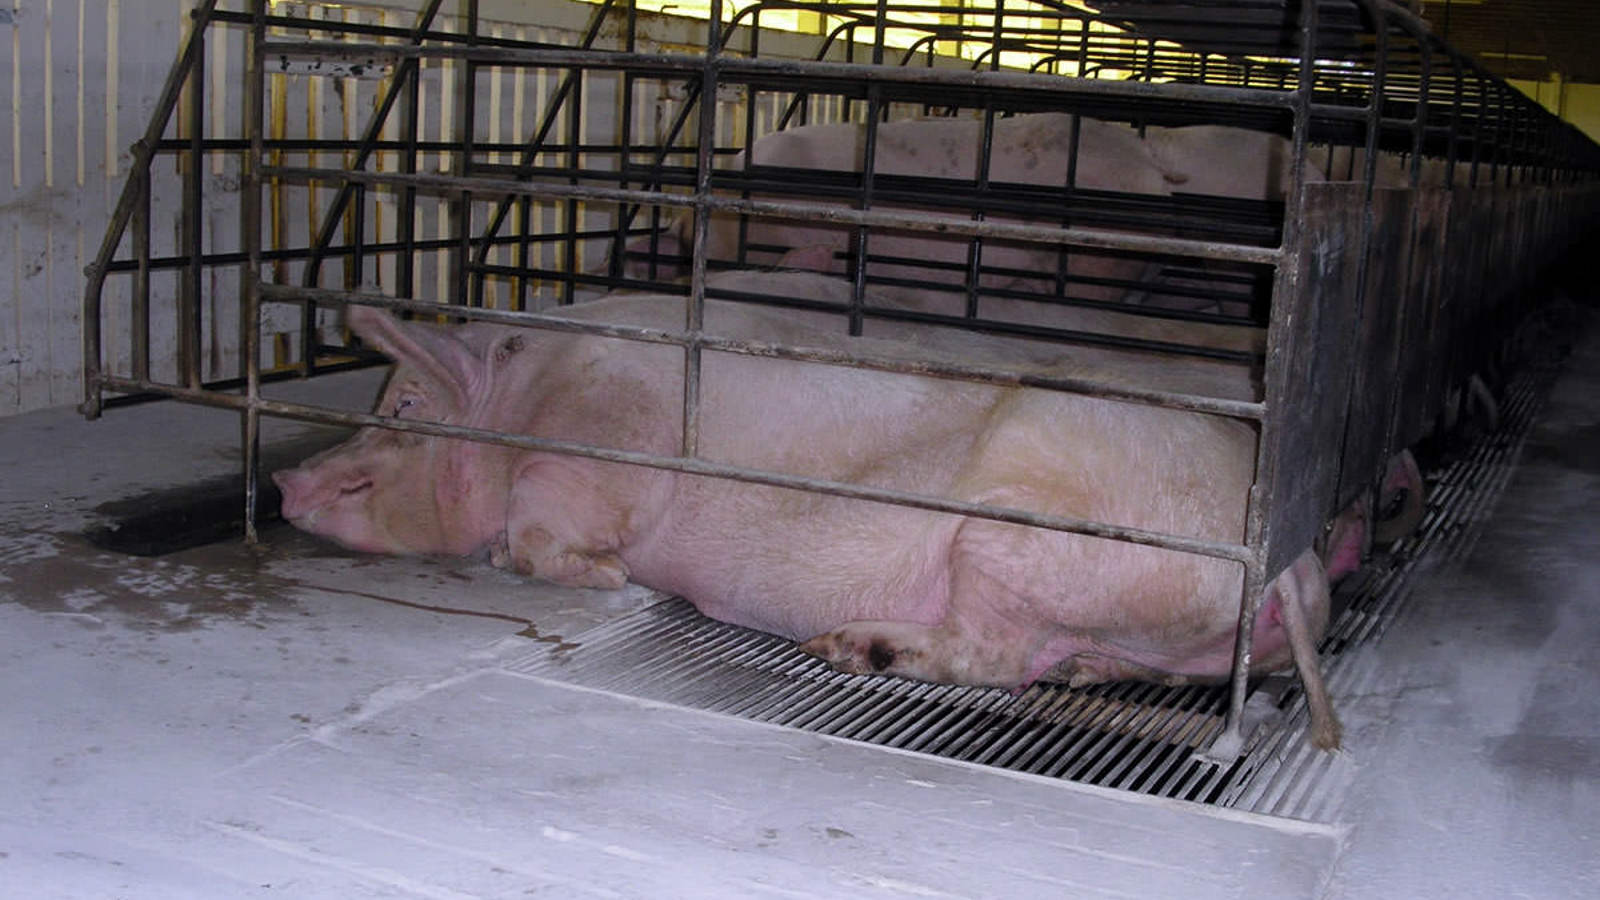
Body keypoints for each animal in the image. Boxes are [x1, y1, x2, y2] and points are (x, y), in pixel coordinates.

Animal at [274, 287, 1341, 750]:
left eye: (406, 407)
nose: (287, 487)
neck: (524, 400)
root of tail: (1287, 558)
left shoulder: (607, 446)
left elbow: (543, 536)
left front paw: (598, 574)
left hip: (1017, 533)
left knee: (992, 654)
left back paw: (847, 648)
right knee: (1071, 658)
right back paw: (1072, 667)